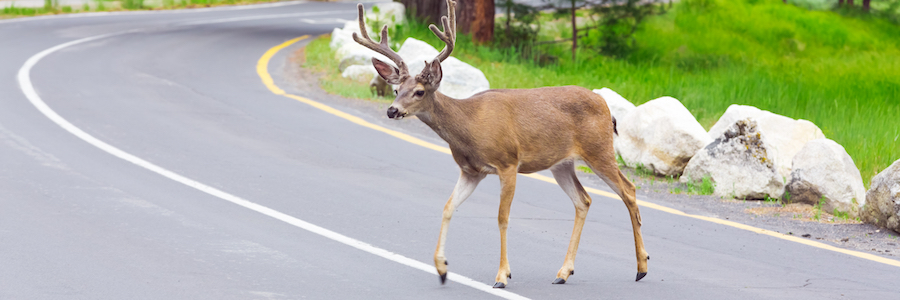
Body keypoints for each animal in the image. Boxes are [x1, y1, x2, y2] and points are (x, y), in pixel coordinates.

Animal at [350, 0, 648, 288]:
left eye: (419, 92)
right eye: (396, 90)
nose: (392, 110)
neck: (469, 127)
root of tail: (607, 107)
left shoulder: (508, 163)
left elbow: (502, 217)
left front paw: (502, 276)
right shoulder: (471, 171)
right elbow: (448, 207)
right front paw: (442, 269)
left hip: (598, 149)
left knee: (629, 190)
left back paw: (641, 268)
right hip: (561, 164)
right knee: (583, 200)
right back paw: (564, 272)